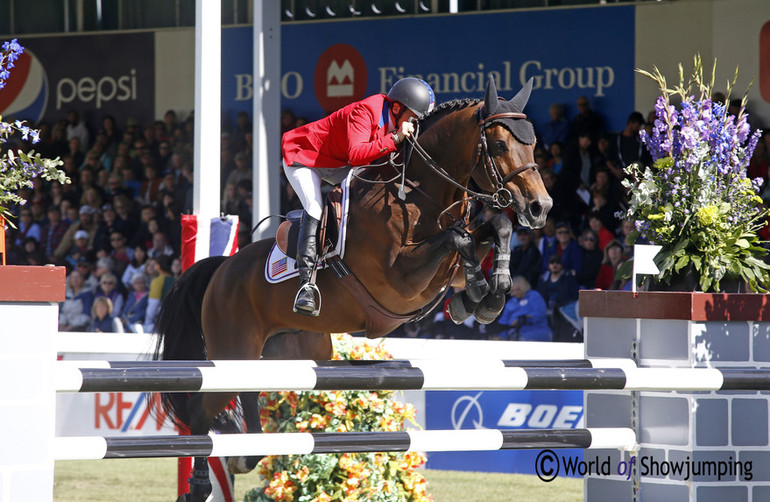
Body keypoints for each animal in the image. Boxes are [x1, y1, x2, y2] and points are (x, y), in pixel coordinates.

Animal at [156, 76, 548, 500]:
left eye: (533, 144)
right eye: (499, 145)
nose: (541, 207)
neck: (417, 194)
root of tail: (221, 270)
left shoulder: (446, 264)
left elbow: (497, 227)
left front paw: (485, 296)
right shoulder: (401, 279)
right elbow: (459, 239)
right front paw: (478, 292)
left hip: (287, 352)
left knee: (247, 394)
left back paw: (245, 455)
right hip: (232, 351)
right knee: (201, 413)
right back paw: (198, 484)